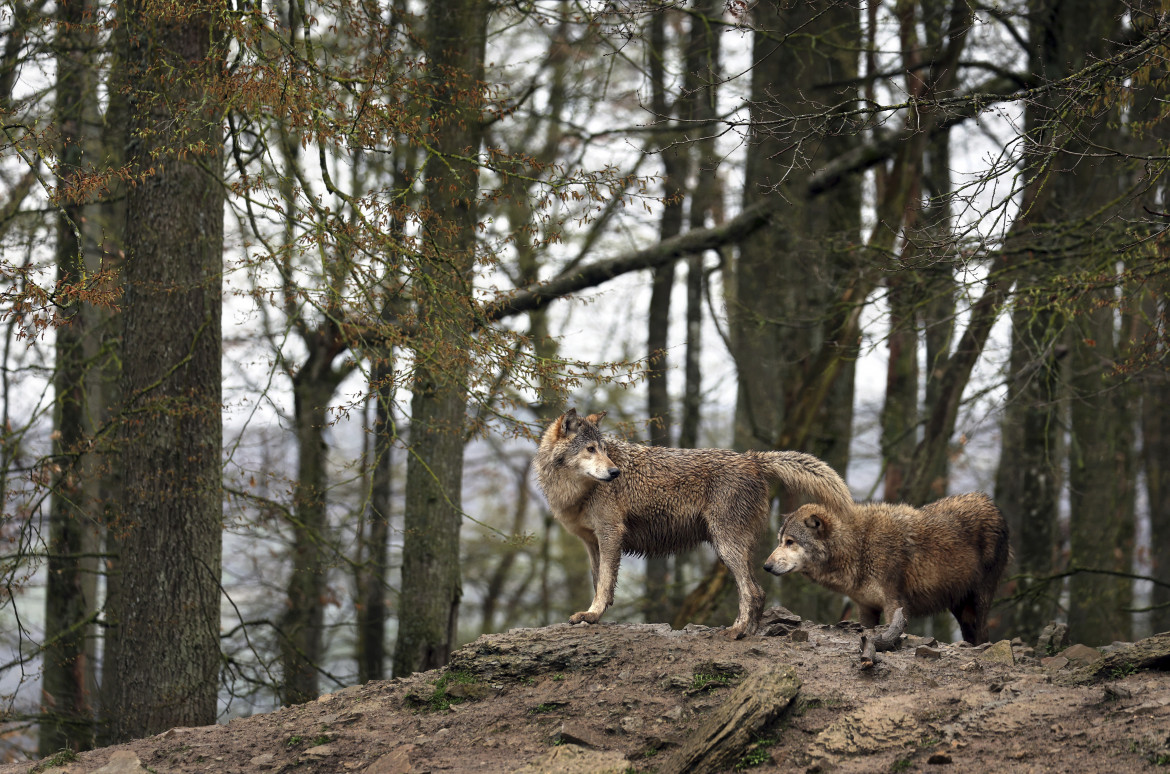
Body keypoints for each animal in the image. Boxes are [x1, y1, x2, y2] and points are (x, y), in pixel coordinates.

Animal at [535, 409, 856, 640]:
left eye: (602, 449)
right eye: (590, 449)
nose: (615, 472)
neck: (575, 492)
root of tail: (752, 458)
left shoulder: (610, 535)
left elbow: (603, 584)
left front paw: (592, 614)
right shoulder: (592, 543)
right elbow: (599, 582)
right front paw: (595, 617)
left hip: (725, 546)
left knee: (752, 591)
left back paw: (736, 632)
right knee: (758, 591)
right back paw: (749, 632)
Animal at [762, 493, 1010, 645]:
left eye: (790, 542)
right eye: (779, 541)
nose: (766, 566)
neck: (858, 545)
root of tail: (992, 504)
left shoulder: (895, 605)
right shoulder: (865, 608)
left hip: (979, 599)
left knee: (983, 633)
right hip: (959, 606)